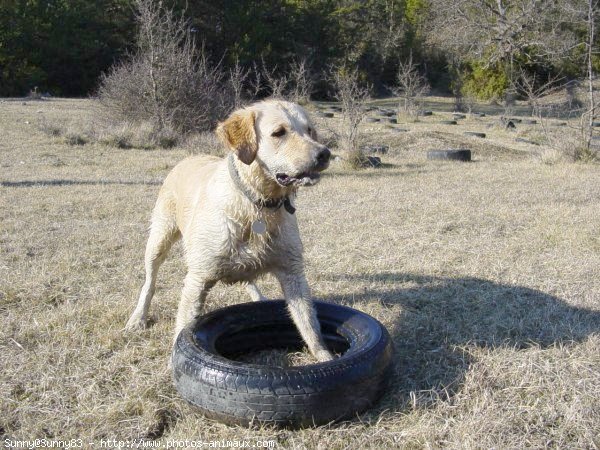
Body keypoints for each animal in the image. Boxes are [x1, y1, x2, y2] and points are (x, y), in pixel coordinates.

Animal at [125, 99, 336, 362]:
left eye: (309, 130)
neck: (256, 204)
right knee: (149, 282)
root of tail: (187, 158)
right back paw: (138, 317)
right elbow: (182, 329)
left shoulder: (293, 272)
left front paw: (325, 358)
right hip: (159, 240)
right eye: (279, 133)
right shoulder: (197, 279)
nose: (324, 153)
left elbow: (309, 324)